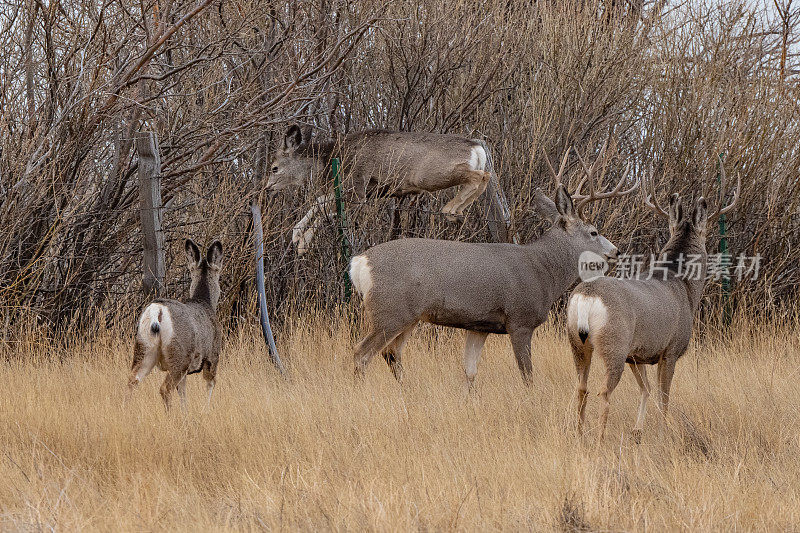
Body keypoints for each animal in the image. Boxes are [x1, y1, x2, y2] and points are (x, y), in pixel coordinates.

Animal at [128, 239, 223, 410]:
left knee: (133, 380)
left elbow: (183, 393)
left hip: (144, 347)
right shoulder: (212, 355)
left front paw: (185, 412)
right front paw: (206, 410)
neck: (205, 303)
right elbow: (210, 384)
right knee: (165, 389)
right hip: (180, 354)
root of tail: (157, 310)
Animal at [268, 125, 494, 255]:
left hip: (433, 174)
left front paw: (303, 244)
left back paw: (450, 210)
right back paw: (456, 211)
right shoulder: (360, 190)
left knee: (480, 176)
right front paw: (297, 235)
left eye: (274, 168)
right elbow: (319, 202)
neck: (327, 159)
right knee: (485, 177)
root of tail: (476, 148)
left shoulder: (357, 187)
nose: (268, 187)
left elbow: (326, 209)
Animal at [564, 158, 740, 440]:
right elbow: (663, 397)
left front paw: (638, 430)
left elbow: (645, 389)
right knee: (604, 391)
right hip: (614, 343)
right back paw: (600, 439)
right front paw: (663, 433)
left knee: (582, 387)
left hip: (576, 342)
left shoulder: (638, 354)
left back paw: (580, 434)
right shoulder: (670, 350)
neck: (683, 285)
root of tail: (586, 297)